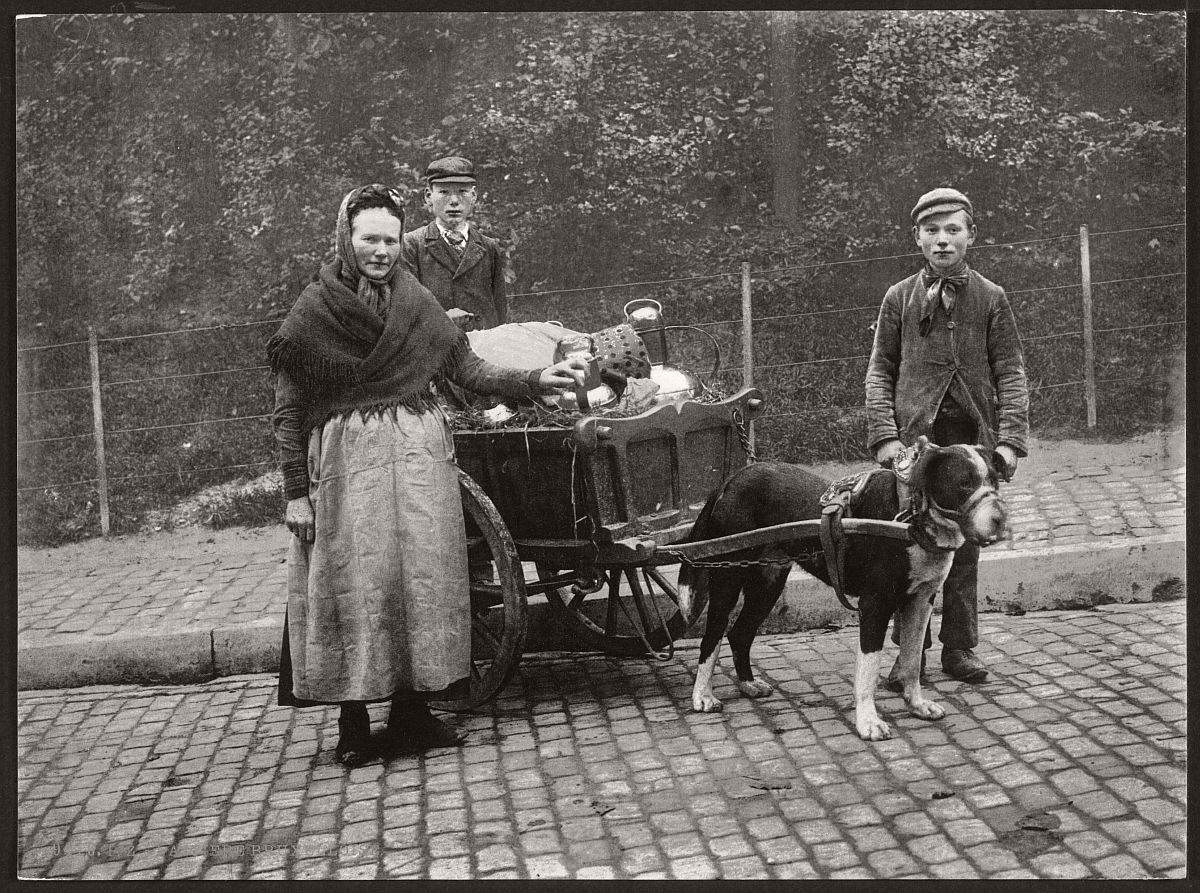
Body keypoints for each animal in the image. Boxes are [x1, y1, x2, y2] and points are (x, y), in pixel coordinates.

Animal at [681, 436, 1008, 739]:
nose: (1000, 519)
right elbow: (868, 669)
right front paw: (868, 722)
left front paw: (916, 704)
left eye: (994, 481)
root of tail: (730, 481)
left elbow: (912, 660)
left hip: (768, 583)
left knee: (739, 634)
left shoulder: (921, 600)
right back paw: (703, 696)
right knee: (712, 637)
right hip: (727, 578)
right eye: (964, 484)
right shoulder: (874, 604)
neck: (911, 518)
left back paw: (748, 684)